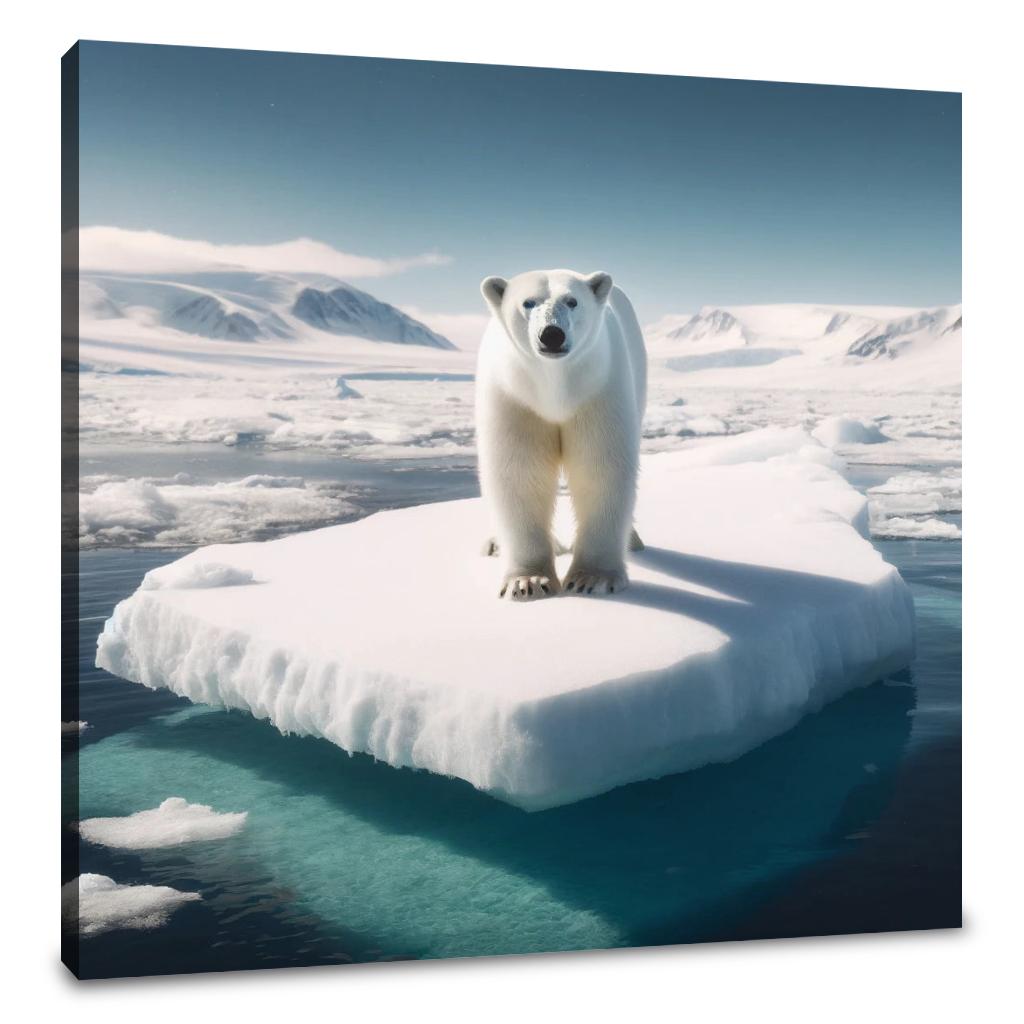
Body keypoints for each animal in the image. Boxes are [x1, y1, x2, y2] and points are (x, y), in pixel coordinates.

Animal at [476, 268, 647, 600]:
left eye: (572, 301)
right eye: (528, 302)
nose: (552, 334)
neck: (555, 385)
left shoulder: (598, 388)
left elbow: (600, 468)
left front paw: (592, 579)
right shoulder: (514, 396)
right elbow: (519, 472)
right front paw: (527, 582)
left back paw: (632, 539)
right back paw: (495, 543)